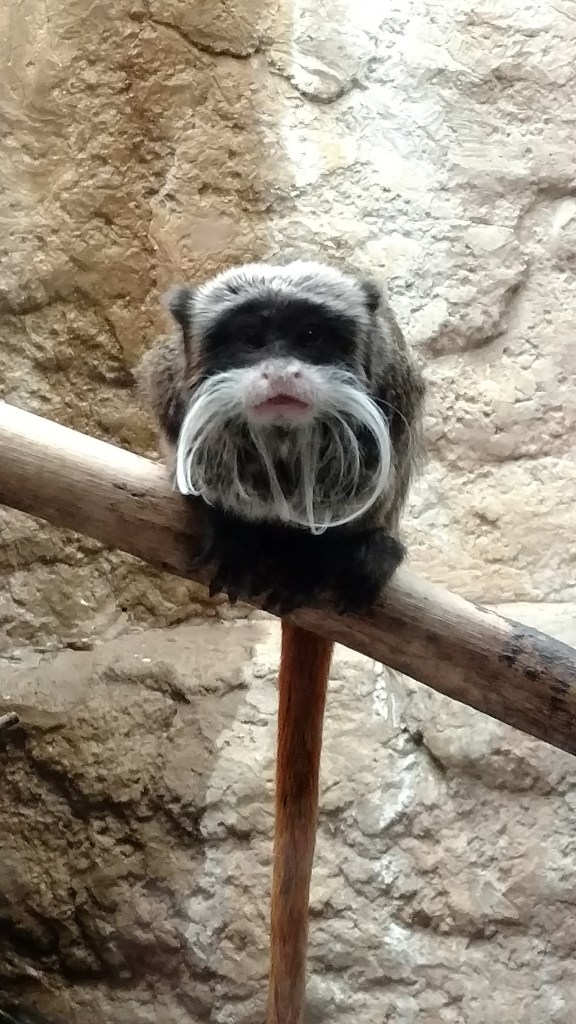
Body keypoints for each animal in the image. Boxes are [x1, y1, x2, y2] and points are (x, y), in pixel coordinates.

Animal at [136, 259, 425, 1024]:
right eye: (250, 338)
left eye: (310, 336)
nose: (280, 369)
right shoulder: (170, 384)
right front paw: (232, 526)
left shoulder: (393, 374)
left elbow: (401, 422)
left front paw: (358, 545)